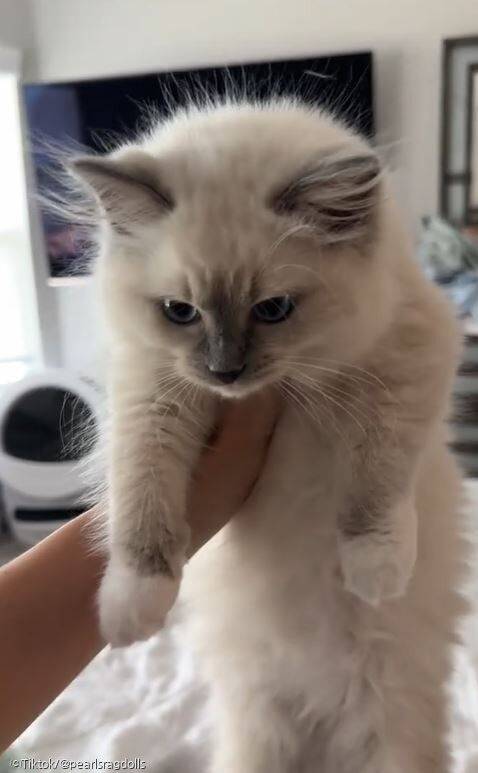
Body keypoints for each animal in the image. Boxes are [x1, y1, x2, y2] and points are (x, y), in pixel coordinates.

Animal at [70, 101, 468, 772]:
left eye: (274, 309)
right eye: (180, 312)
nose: (225, 372)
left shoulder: (406, 358)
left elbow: (377, 482)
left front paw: (375, 573)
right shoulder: (151, 393)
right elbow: (140, 493)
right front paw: (133, 610)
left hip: (390, 734)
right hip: (256, 729)